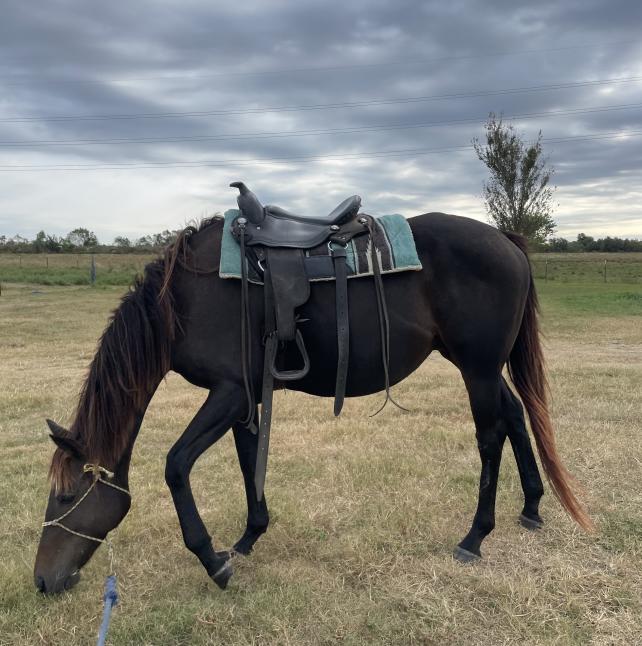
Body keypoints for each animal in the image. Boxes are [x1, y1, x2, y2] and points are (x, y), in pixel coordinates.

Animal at [33, 211, 592, 594]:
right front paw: (248, 538)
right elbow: (248, 460)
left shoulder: (228, 391)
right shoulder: (243, 396)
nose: (43, 581)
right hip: (480, 366)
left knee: (491, 437)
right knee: (517, 416)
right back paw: (532, 506)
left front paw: (214, 561)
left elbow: (176, 465)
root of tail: (506, 239)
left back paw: (475, 537)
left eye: (66, 496)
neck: (185, 300)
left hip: (477, 369)